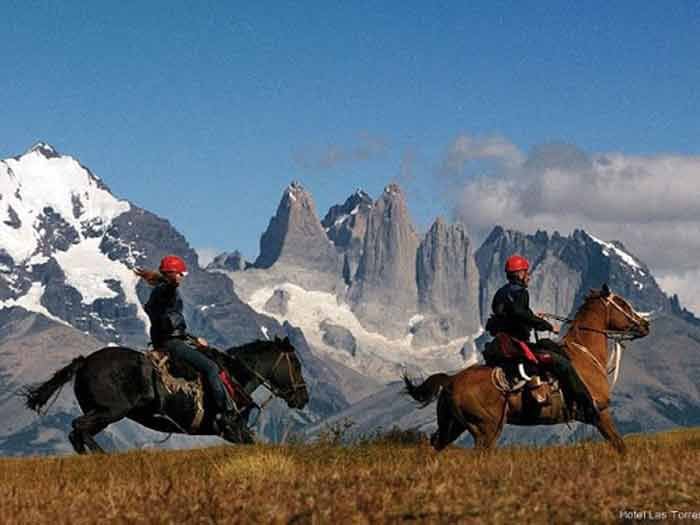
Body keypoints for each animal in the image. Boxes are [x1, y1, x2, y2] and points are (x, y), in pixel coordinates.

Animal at [21, 338, 308, 452]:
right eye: (296, 364)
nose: (303, 398)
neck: (235, 376)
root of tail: (84, 363)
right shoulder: (234, 429)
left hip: (102, 414)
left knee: (77, 433)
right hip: (110, 412)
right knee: (78, 428)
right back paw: (105, 456)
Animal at [404, 284, 652, 452]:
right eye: (623, 304)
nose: (645, 325)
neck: (585, 353)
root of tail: (451, 381)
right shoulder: (601, 413)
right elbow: (619, 444)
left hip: (452, 426)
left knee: (434, 445)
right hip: (486, 430)